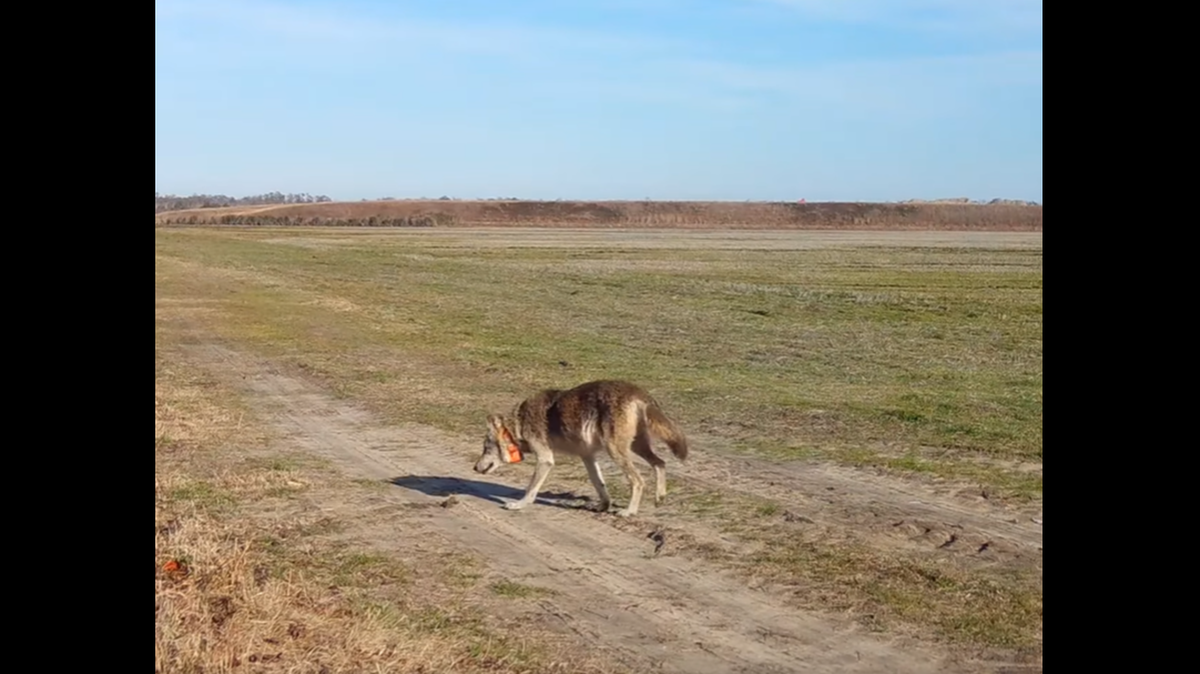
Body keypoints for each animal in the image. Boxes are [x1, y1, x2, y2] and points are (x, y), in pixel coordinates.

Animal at [473, 380, 689, 517]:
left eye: (485, 448)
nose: (475, 467)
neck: (519, 424)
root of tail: (638, 392)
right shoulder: (587, 456)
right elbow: (599, 484)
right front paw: (603, 506)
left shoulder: (545, 459)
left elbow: (531, 489)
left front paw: (518, 505)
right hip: (637, 446)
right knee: (660, 463)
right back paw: (659, 497)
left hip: (616, 450)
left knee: (639, 480)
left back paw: (629, 512)